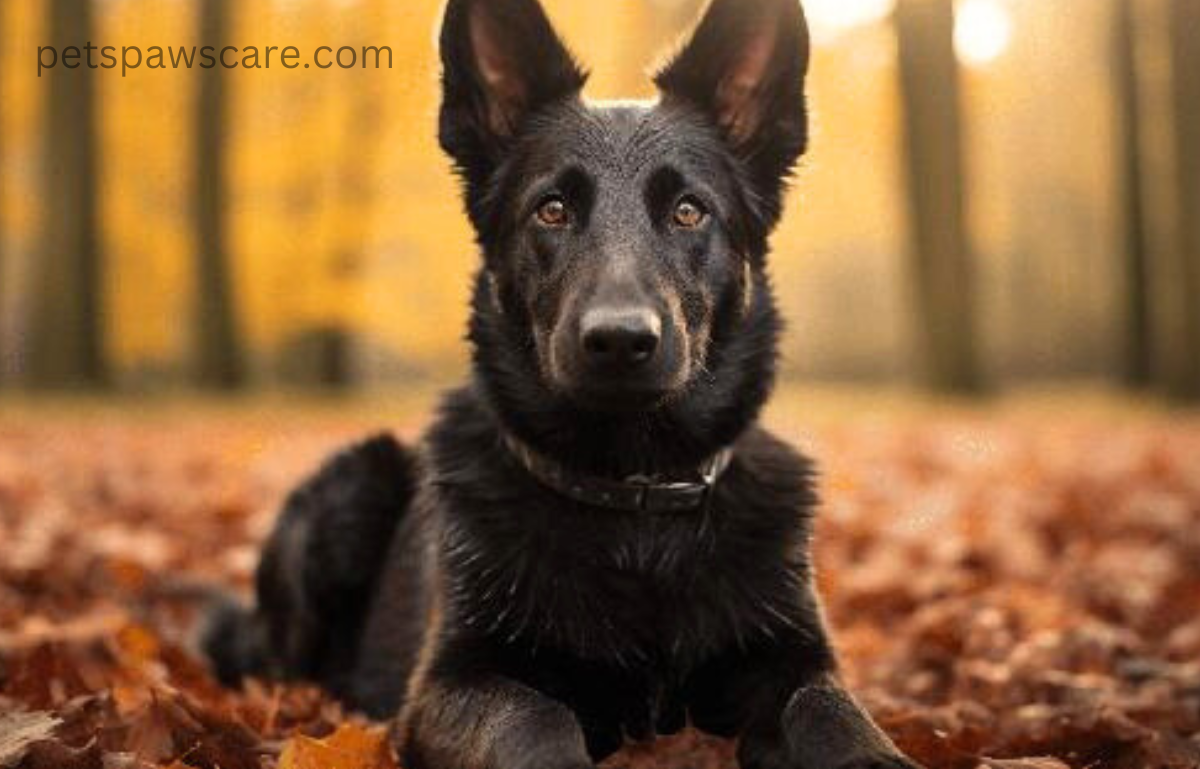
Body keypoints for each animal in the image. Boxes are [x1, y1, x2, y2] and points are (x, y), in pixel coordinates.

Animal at [204, 1, 916, 767]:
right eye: (552, 209)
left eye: (689, 211)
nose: (619, 340)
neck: (635, 507)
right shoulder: (449, 683)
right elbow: (533, 717)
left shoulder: (790, 659)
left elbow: (830, 710)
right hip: (353, 481)